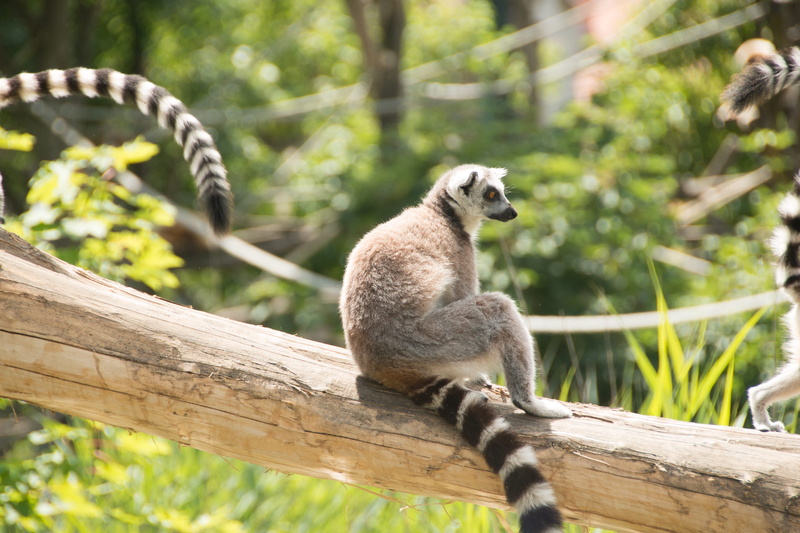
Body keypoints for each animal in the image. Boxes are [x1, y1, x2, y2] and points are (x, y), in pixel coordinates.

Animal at [340, 164, 571, 533]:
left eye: (501, 192)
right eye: (491, 194)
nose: (512, 212)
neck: (443, 213)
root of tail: (383, 366)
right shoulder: (459, 252)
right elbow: (464, 295)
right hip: (433, 341)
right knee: (496, 308)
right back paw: (528, 402)